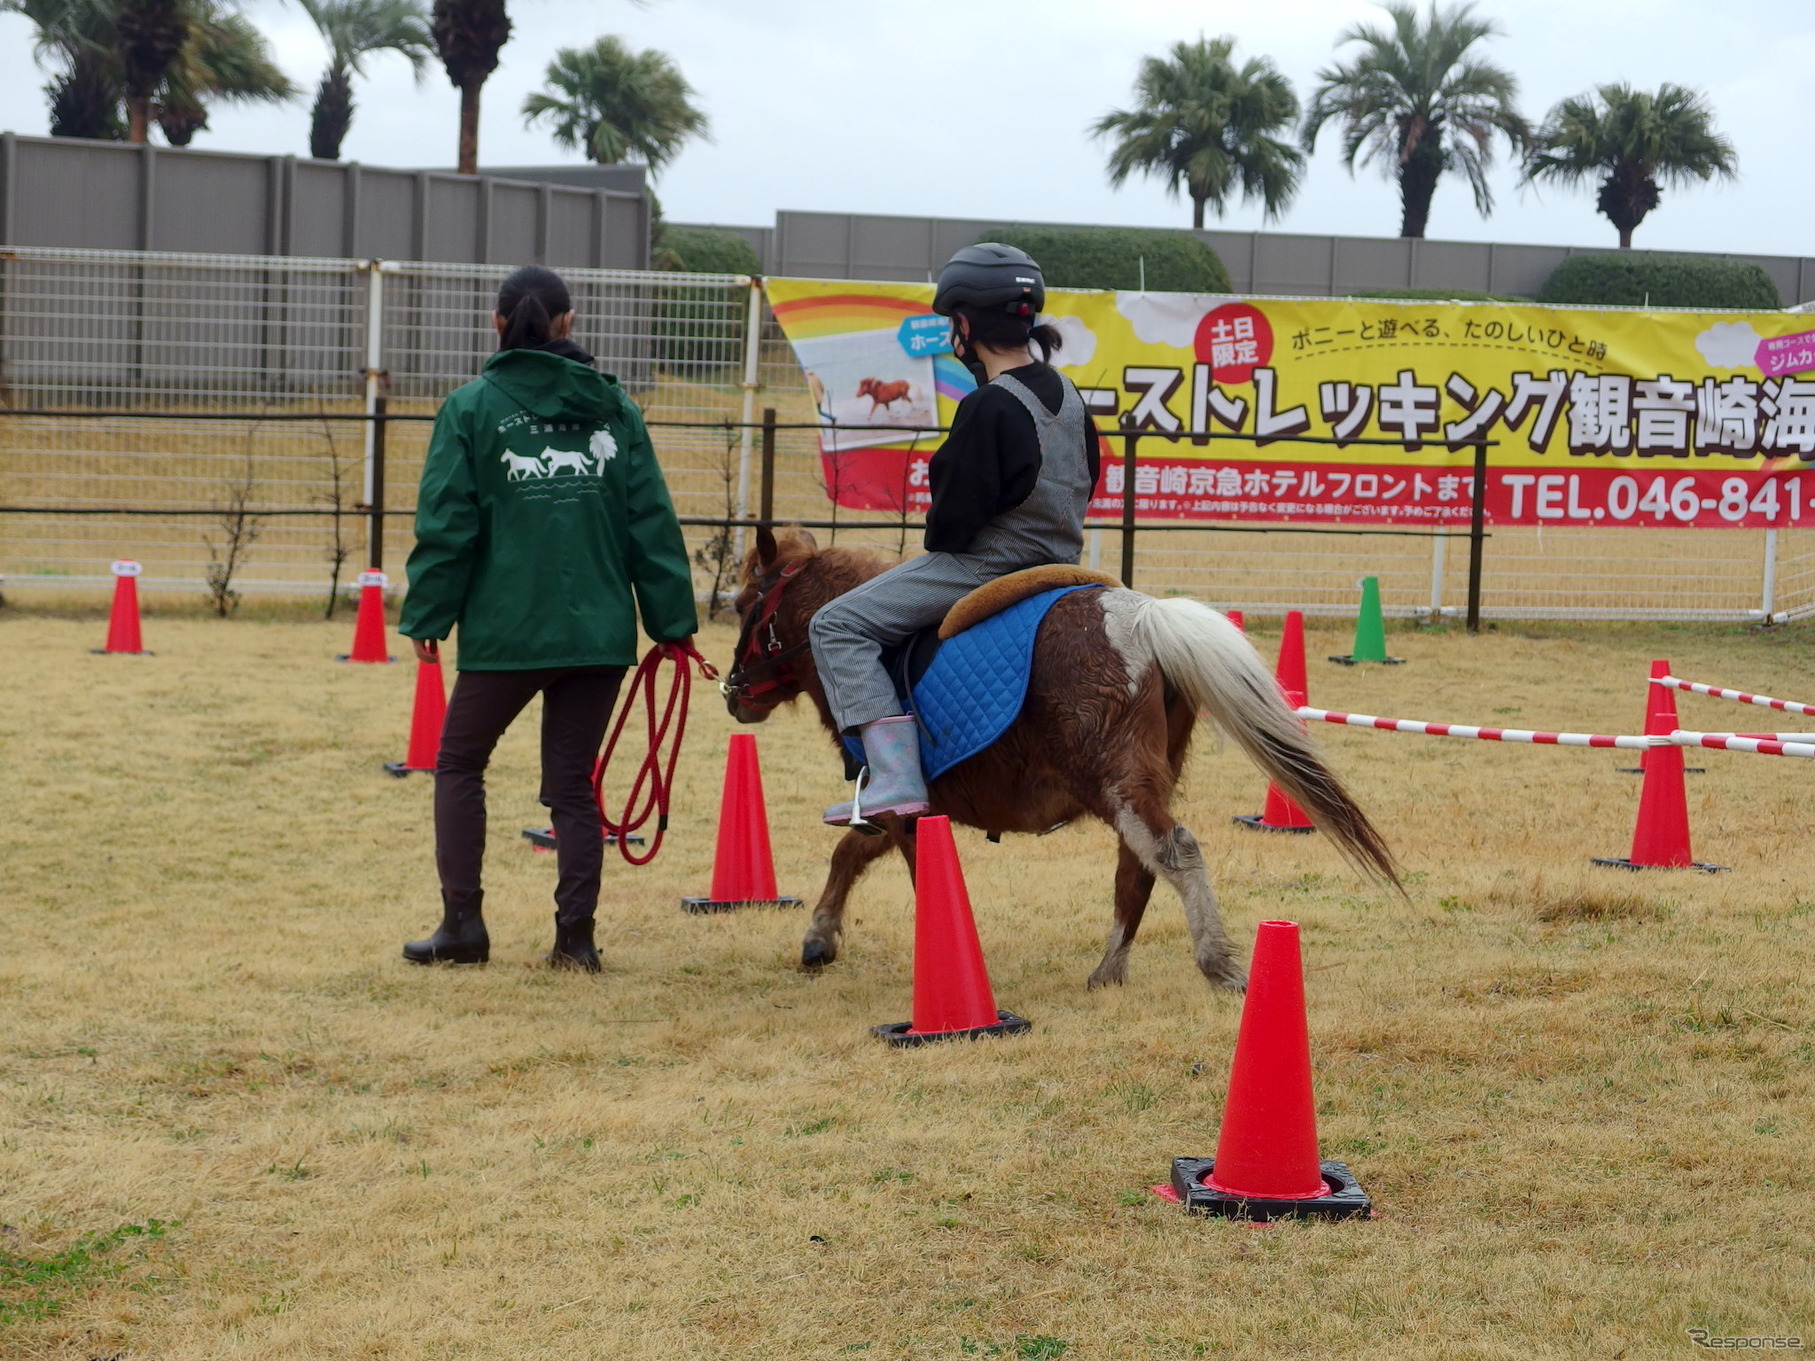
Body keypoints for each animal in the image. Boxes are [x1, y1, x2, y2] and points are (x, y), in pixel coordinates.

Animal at [715, 529, 1393, 994]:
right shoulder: (909, 806)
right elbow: (849, 853)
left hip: (1115, 781)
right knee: (1138, 869)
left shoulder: (904, 807)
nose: (734, 693)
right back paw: (1109, 970)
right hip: (1139, 780)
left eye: (748, 602)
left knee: (1173, 851)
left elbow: (896, 865)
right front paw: (819, 938)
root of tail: (1142, 618)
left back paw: (1217, 963)